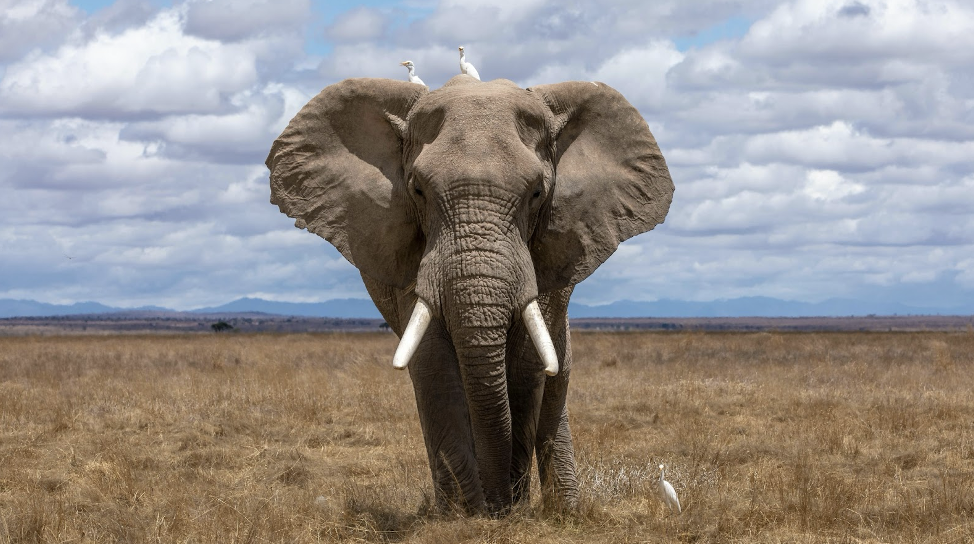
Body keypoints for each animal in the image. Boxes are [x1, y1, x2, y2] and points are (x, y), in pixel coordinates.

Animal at [268, 74, 680, 516]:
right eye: (417, 190)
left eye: (538, 193)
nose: (498, 506)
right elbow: (434, 364)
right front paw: (464, 516)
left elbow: (526, 366)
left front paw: (509, 510)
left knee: (557, 377)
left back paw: (564, 510)